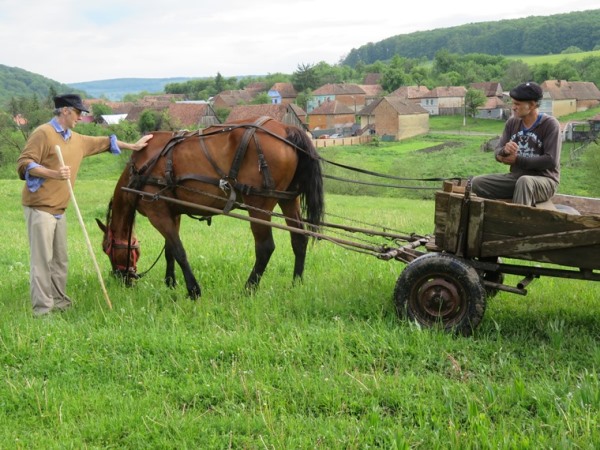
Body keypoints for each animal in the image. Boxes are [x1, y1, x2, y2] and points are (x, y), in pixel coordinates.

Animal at [96, 116, 326, 298]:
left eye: (106, 248)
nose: (121, 278)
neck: (140, 167)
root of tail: (286, 129)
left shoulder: (157, 213)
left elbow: (179, 251)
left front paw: (193, 290)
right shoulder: (173, 212)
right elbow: (170, 250)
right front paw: (170, 282)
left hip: (258, 205)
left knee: (265, 247)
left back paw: (249, 288)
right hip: (287, 199)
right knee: (299, 239)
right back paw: (296, 283)